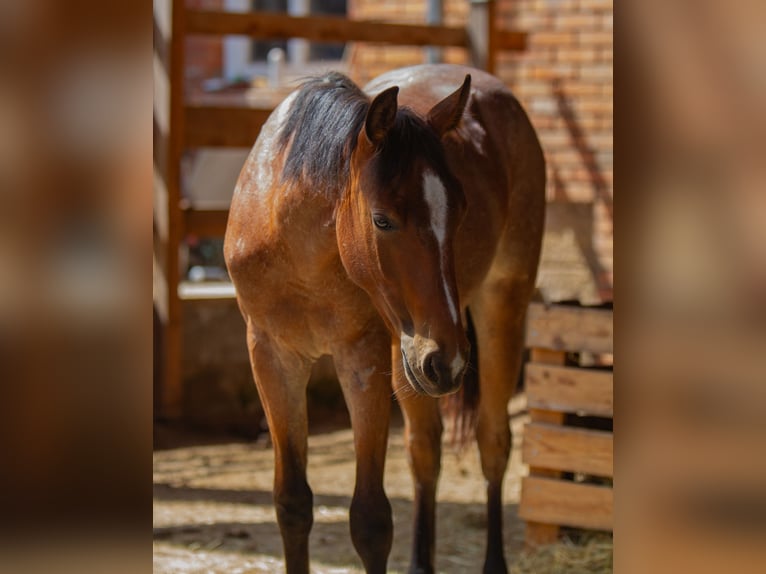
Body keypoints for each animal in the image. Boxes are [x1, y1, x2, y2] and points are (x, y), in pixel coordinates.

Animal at [224, 63, 545, 573]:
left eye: (461, 212)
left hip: (497, 307)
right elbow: (292, 503)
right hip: (413, 361)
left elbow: (371, 520)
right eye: (382, 220)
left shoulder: (363, 359)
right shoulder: (272, 358)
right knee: (425, 450)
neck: (297, 245)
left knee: (493, 443)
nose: (451, 359)